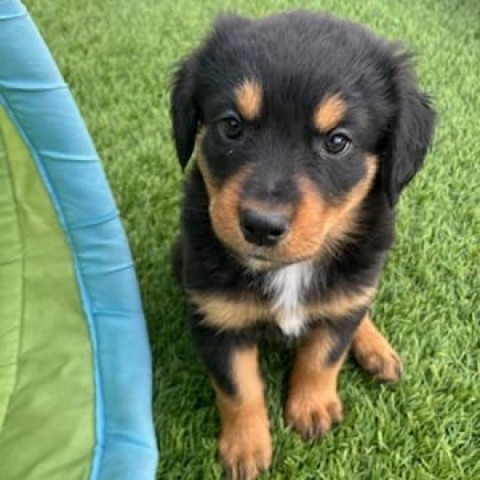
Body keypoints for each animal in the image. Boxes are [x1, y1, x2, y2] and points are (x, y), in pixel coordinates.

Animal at [170, 10, 436, 476]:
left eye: (337, 141)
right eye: (231, 125)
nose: (261, 226)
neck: (289, 271)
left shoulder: (346, 296)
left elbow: (324, 353)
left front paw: (312, 408)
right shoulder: (214, 315)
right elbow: (238, 386)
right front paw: (245, 449)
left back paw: (376, 350)